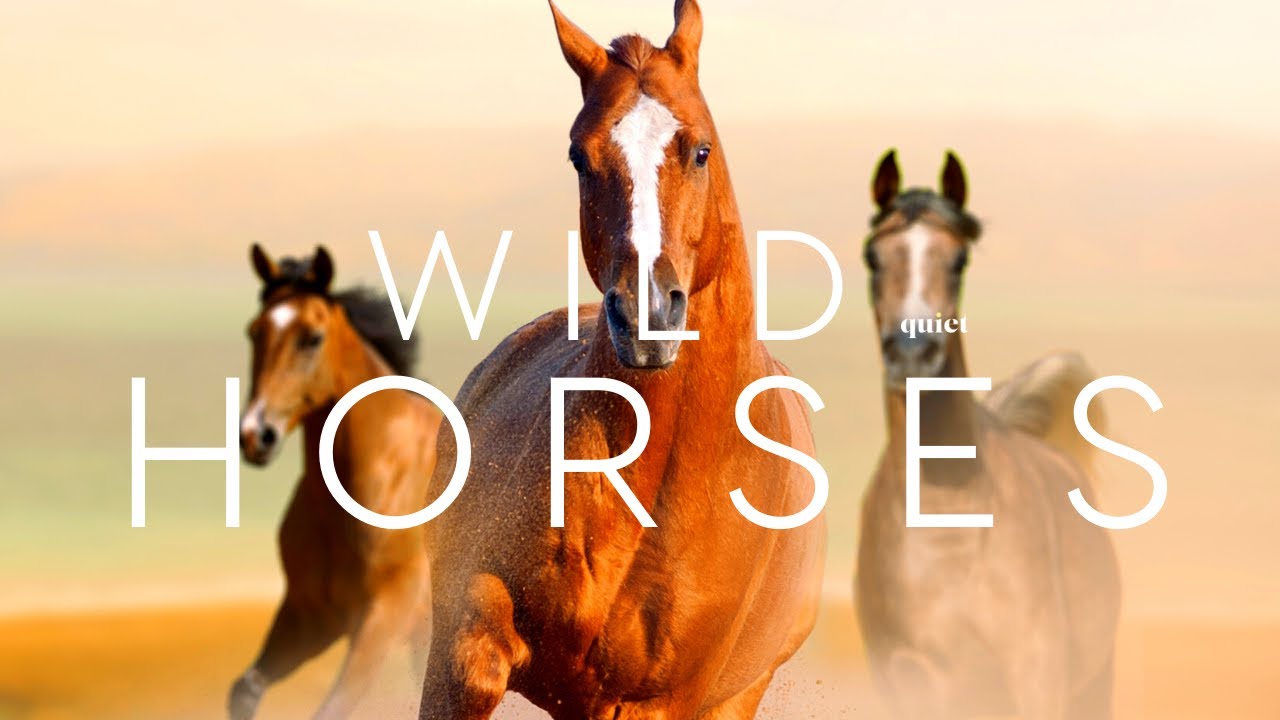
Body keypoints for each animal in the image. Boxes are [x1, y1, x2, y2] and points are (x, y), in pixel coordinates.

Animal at [229, 244, 441, 720]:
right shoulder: (310, 615)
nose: (256, 435)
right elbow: (244, 690)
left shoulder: (386, 614)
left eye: (312, 337)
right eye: (254, 332)